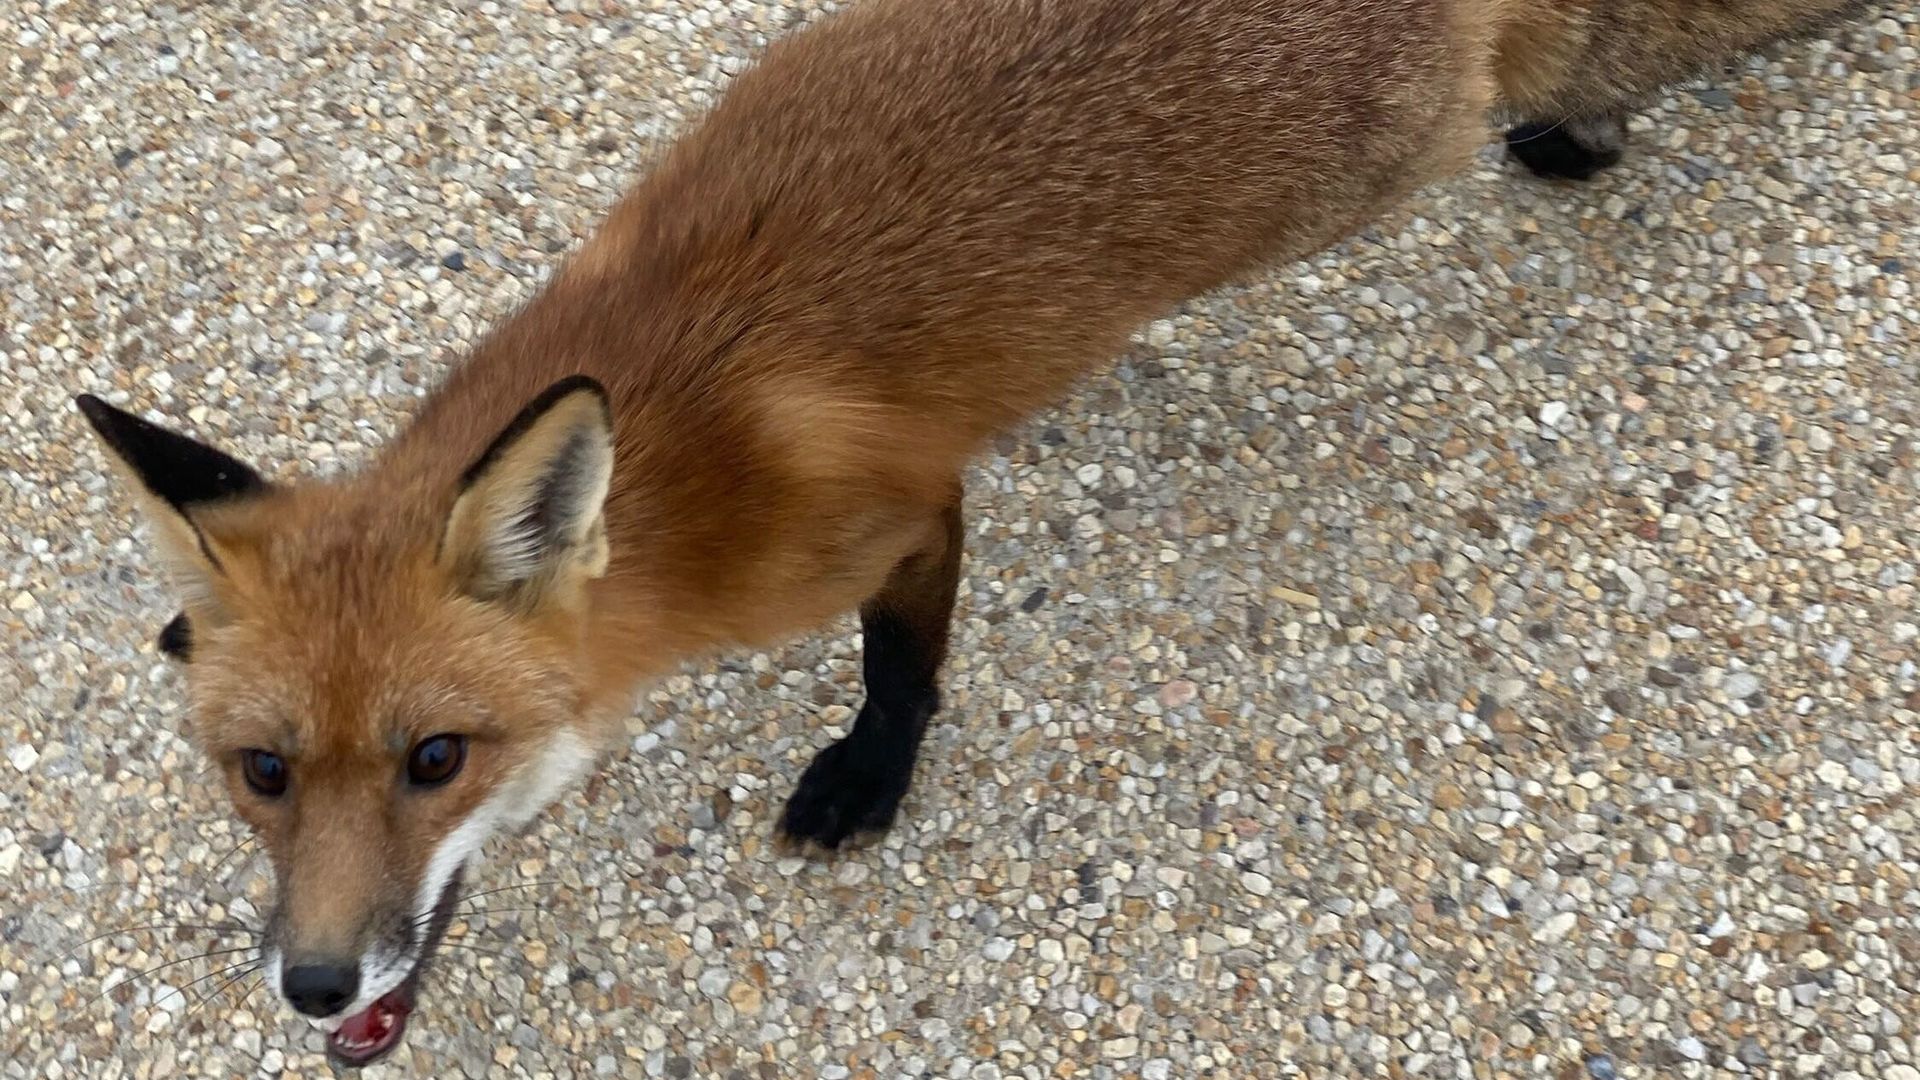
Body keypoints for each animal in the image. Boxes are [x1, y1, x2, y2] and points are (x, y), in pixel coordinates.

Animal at [77, 0, 1873, 1066]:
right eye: (263, 773)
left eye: (438, 759)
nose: (315, 987)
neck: (672, 466)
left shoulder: (896, 512)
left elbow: (902, 670)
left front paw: (865, 780)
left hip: (1403, 151)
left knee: (1582, 65)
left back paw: (1593, 130)